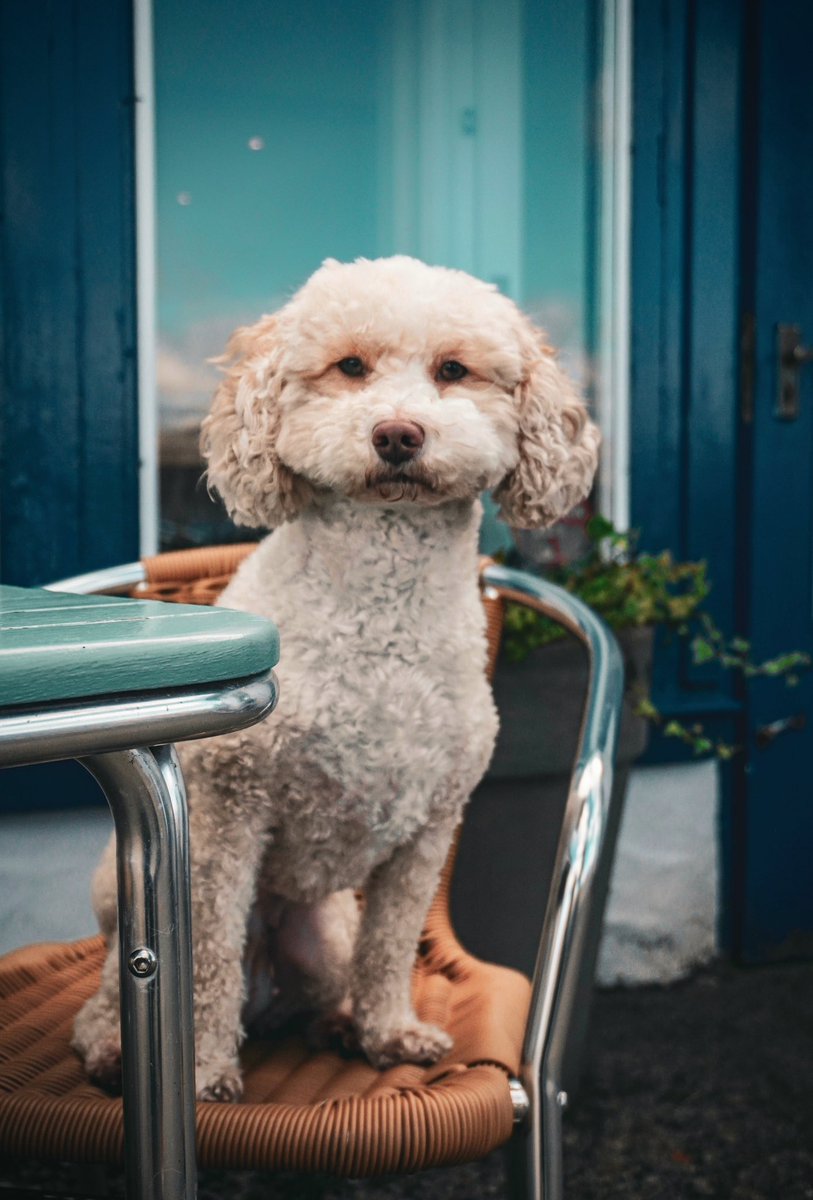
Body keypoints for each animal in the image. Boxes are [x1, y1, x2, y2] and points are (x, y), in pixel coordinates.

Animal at [73, 258, 601, 1099]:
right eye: (350, 367)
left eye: (452, 370)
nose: (397, 434)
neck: (383, 605)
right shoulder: (226, 816)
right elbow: (205, 958)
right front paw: (204, 1070)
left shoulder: (429, 828)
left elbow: (391, 945)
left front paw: (388, 1032)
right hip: (119, 896)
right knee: (114, 992)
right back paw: (112, 1050)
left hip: (322, 934)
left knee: (320, 986)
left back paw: (340, 1025)